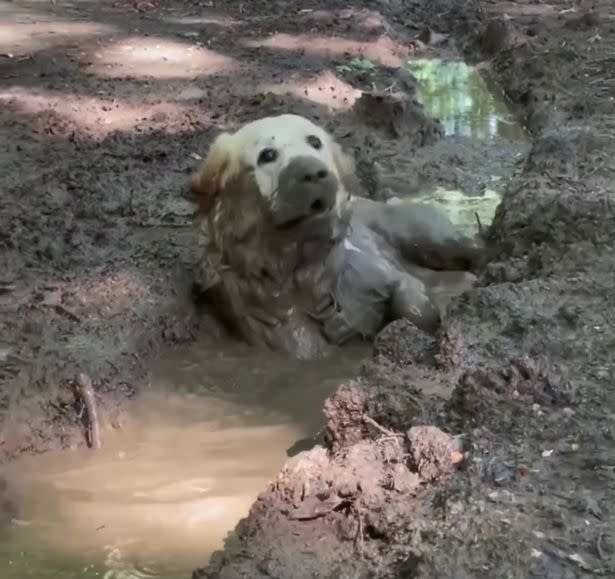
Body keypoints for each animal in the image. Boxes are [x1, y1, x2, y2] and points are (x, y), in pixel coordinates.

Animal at [190, 114, 484, 358]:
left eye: (314, 141)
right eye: (267, 155)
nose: (314, 172)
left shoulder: (389, 277)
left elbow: (411, 304)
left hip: (430, 236)